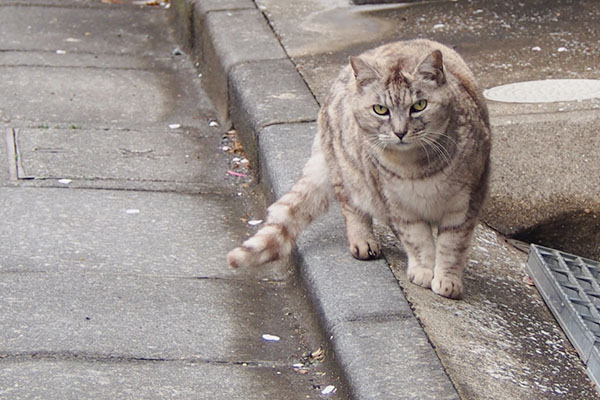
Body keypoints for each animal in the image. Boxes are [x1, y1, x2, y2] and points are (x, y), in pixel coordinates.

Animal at [227, 39, 490, 298]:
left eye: (419, 105)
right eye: (380, 109)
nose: (400, 132)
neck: (416, 167)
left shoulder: (466, 202)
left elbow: (452, 246)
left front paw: (447, 279)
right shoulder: (398, 207)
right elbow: (419, 240)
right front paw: (424, 270)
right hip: (348, 173)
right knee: (352, 208)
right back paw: (363, 242)